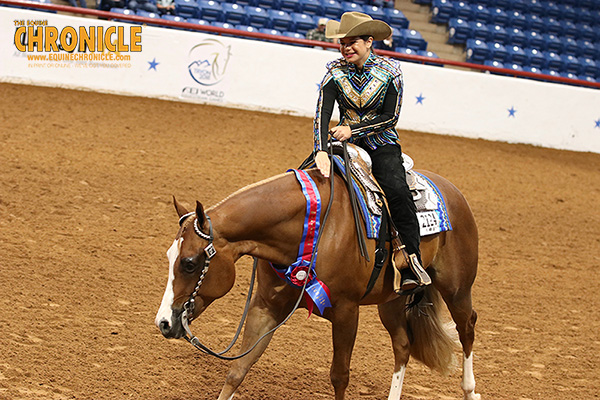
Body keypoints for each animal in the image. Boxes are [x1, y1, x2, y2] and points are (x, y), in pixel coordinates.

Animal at [157, 168, 480, 400]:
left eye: (189, 263)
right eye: (170, 256)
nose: (163, 323)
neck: (310, 228)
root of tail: (453, 192)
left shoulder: (347, 312)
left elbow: (339, 376)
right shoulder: (266, 306)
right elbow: (239, 368)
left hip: (457, 289)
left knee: (467, 328)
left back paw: (470, 390)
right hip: (392, 300)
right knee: (402, 345)